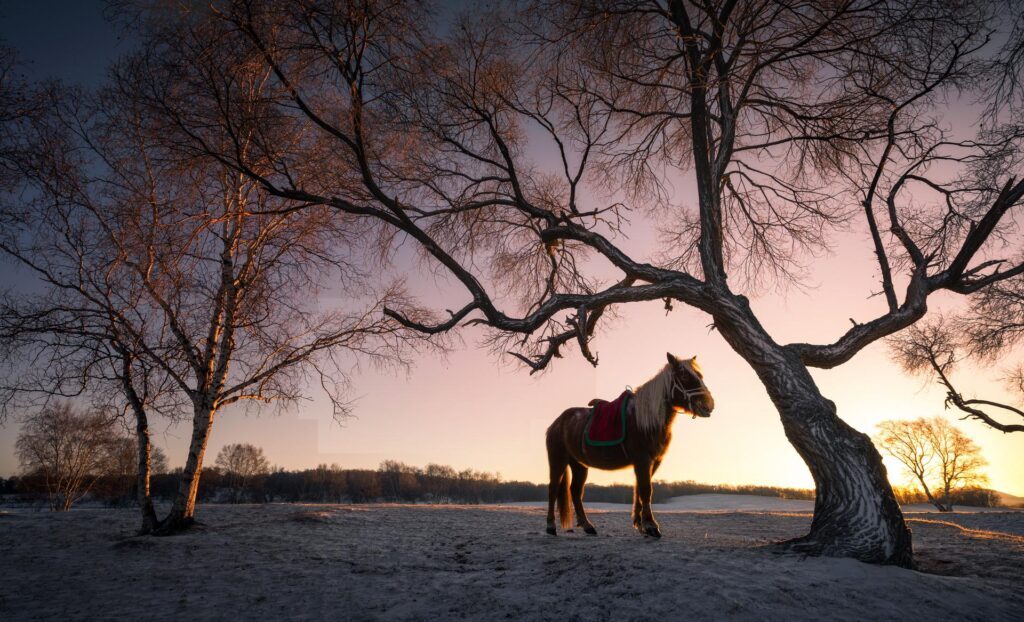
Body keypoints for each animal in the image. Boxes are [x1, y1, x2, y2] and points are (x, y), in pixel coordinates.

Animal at [544, 352, 712, 536]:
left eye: (700, 375)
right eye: (684, 376)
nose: (708, 405)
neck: (645, 419)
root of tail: (557, 422)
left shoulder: (653, 462)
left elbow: (639, 490)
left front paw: (641, 524)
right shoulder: (642, 460)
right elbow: (645, 490)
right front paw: (651, 526)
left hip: (579, 464)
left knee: (575, 491)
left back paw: (588, 526)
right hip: (558, 461)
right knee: (553, 489)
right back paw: (550, 526)